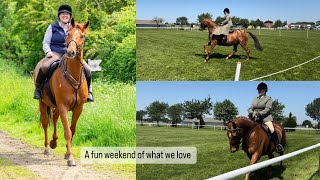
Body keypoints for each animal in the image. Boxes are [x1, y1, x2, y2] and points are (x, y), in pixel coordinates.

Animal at [33, 17, 90, 166]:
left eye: (82, 36)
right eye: (68, 34)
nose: (70, 52)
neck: (73, 74)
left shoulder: (78, 108)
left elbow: (72, 129)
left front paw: (66, 153)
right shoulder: (63, 106)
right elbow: (67, 132)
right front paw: (70, 158)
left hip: (56, 106)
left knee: (54, 118)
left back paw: (54, 142)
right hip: (43, 103)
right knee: (46, 122)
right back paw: (48, 147)